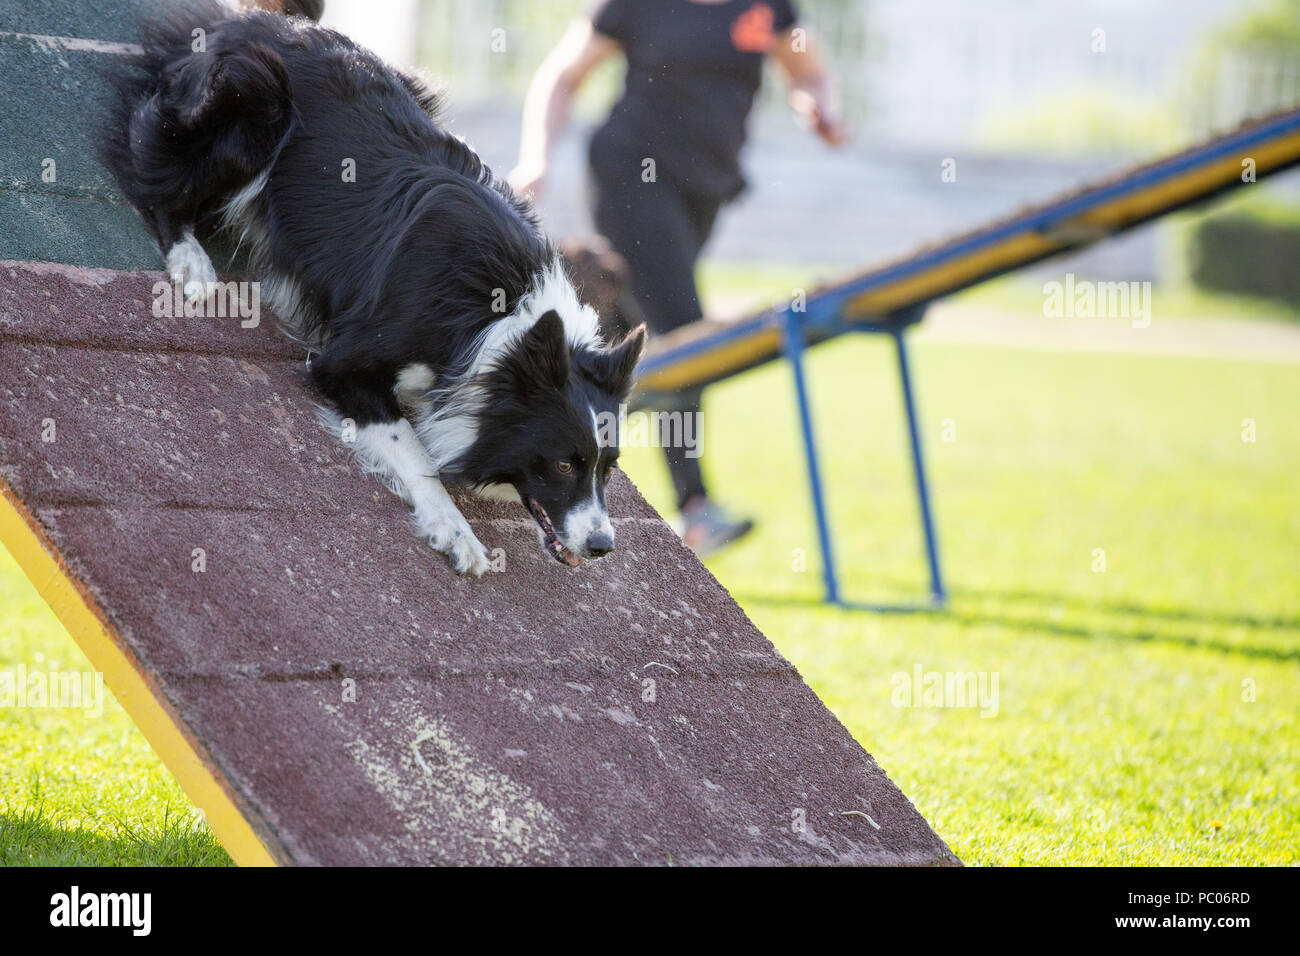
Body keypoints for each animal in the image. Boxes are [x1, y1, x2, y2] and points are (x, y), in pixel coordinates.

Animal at [100, 1, 644, 574]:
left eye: (608, 468)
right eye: (564, 464)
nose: (602, 546)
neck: (499, 321)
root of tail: (259, 21)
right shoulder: (346, 362)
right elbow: (411, 445)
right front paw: (457, 531)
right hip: (255, 98)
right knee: (154, 180)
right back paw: (193, 264)